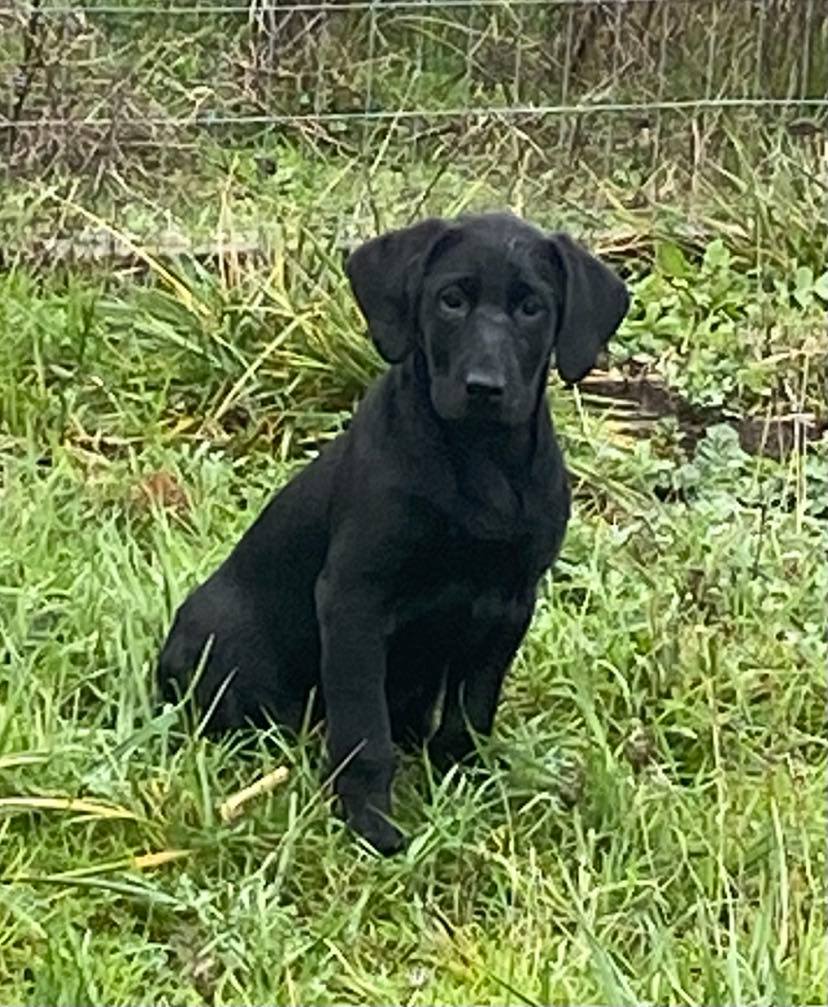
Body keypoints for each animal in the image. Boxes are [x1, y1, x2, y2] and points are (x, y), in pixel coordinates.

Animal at [159, 208, 628, 853]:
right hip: (220, 638)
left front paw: (464, 777)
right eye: (451, 300)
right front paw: (370, 823)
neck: (479, 461)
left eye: (532, 307)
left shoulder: (510, 604)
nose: (485, 388)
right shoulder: (353, 601)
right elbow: (364, 731)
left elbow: (472, 708)